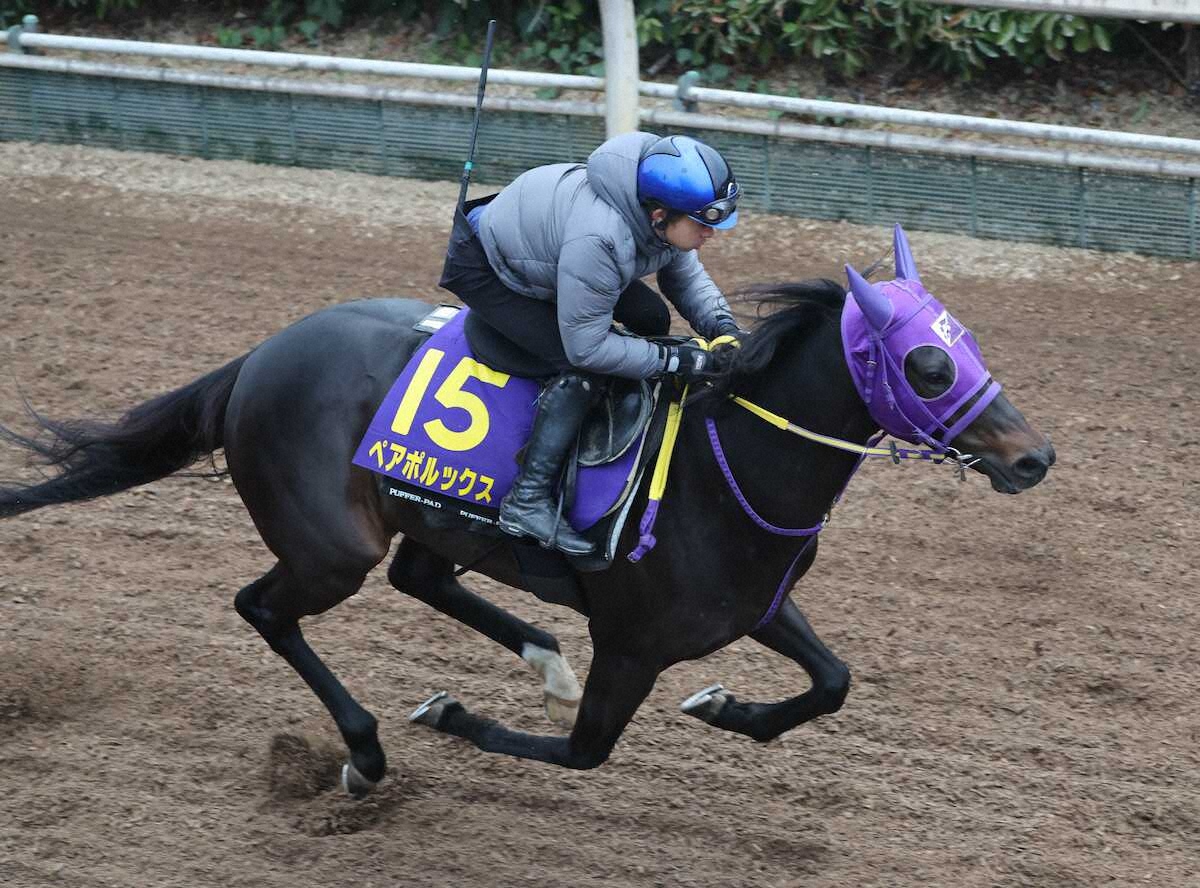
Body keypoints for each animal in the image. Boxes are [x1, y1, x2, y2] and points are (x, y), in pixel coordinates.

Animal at [0, 226, 1054, 797]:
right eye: (928, 364)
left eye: (967, 341)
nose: (1034, 457)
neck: (731, 467)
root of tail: (258, 357)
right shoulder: (633, 642)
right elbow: (583, 753)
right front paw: (449, 712)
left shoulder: (753, 603)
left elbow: (833, 681)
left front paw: (725, 708)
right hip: (328, 550)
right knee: (266, 608)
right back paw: (367, 753)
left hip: (428, 523)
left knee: (421, 575)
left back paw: (543, 657)